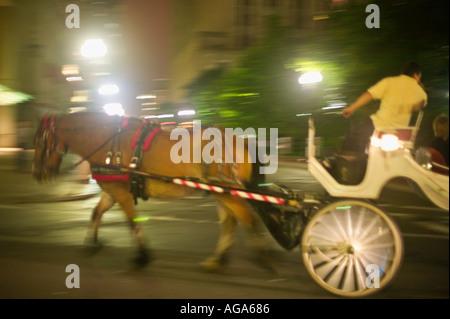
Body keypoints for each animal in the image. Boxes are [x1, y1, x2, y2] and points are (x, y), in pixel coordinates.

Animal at [31, 111, 276, 272]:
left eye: (40, 141)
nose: (37, 174)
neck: (108, 141)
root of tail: (239, 140)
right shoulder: (112, 191)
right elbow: (96, 213)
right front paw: (92, 242)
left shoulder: (121, 193)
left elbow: (132, 222)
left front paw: (142, 256)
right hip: (220, 192)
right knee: (230, 222)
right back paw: (218, 258)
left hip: (225, 191)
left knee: (248, 220)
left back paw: (264, 258)